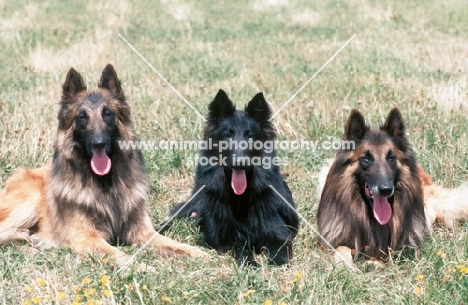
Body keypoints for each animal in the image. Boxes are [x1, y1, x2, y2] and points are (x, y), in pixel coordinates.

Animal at [163, 89, 298, 264]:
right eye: (228, 135)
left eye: (249, 136)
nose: (240, 163)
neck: (240, 199)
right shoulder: (226, 240)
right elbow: (241, 250)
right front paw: (250, 264)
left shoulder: (276, 232)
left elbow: (281, 248)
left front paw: (276, 263)